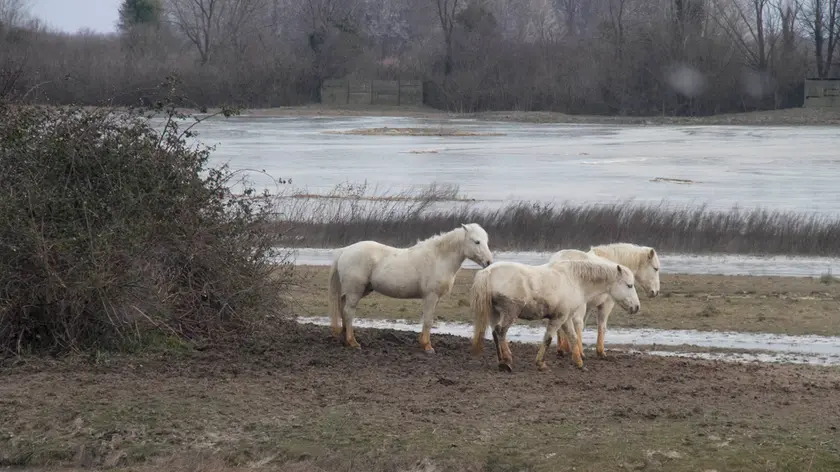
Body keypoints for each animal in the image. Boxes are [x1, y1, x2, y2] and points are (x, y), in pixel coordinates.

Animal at [326, 223, 492, 352]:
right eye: (477, 241)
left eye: (486, 241)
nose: (489, 262)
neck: (438, 258)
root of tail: (345, 251)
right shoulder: (431, 296)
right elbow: (428, 321)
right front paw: (428, 347)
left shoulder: (434, 299)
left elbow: (426, 319)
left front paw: (422, 342)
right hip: (355, 291)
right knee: (348, 312)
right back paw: (353, 342)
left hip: (356, 291)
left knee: (342, 307)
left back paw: (345, 337)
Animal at [470, 258, 640, 372]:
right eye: (629, 285)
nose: (636, 307)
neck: (573, 280)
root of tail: (488, 272)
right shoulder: (558, 318)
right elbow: (548, 338)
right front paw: (541, 363)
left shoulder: (566, 318)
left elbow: (573, 338)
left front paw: (579, 362)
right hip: (511, 312)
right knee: (501, 331)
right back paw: (506, 361)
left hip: (495, 312)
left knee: (495, 333)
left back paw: (501, 361)